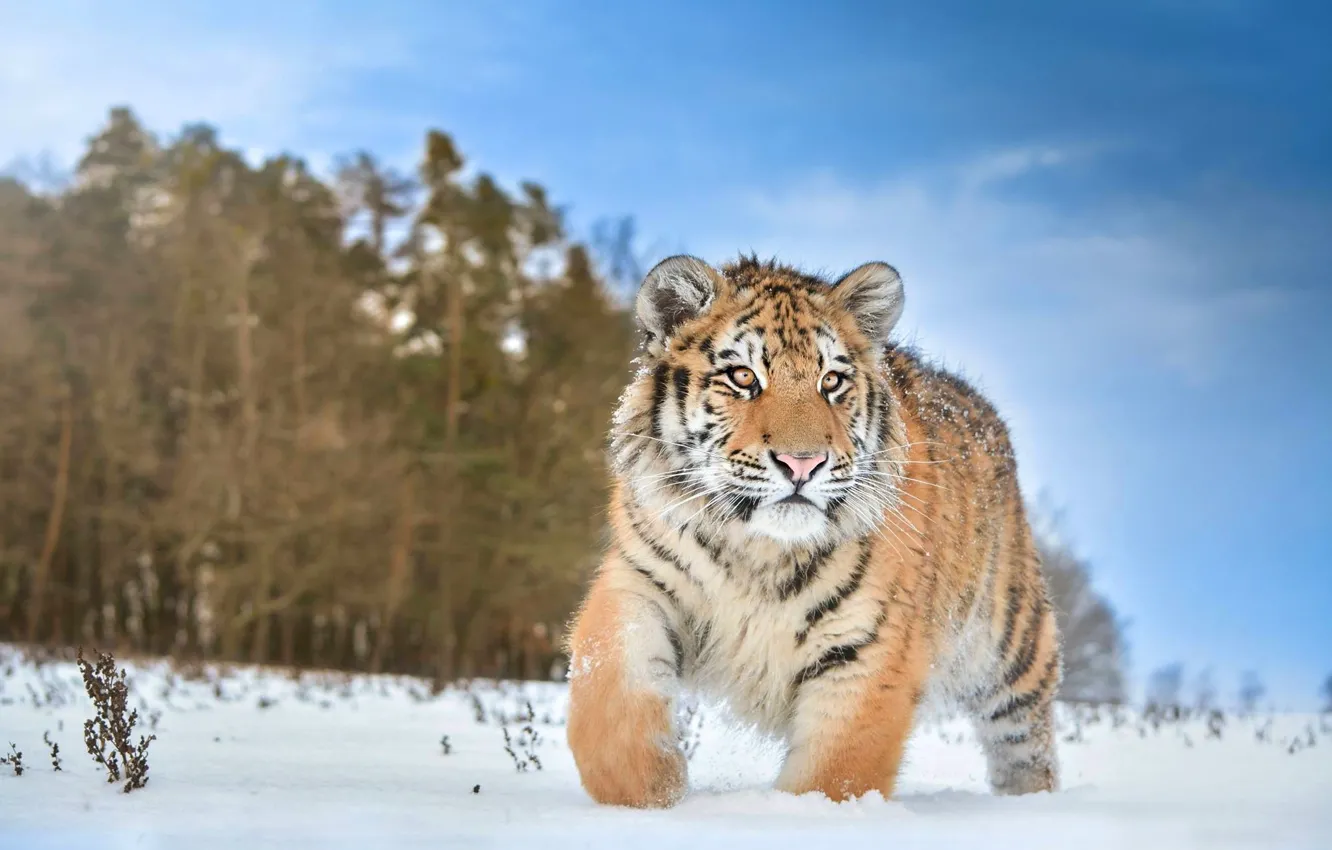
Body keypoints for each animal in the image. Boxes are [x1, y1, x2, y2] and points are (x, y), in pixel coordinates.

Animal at [564, 254, 1062, 808]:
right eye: (743, 377)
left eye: (831, 381)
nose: (802, 463)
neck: (756, 549)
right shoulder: (639, 586)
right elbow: (612, 711)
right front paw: (656, 793)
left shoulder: (867, 650)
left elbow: (833, 777)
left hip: (1012, 648)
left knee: (1027, 746)